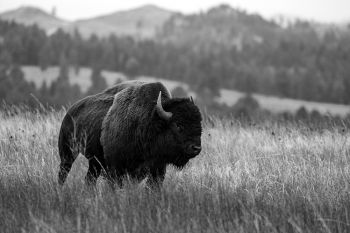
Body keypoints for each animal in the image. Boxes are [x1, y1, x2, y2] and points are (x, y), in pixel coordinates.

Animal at [58, 81, 202, 187]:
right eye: (178, 125)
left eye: (199, 124)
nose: (196, 148)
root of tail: (70, 112)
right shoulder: (116, 170)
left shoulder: (157, 170)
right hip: (68, 153)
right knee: (63, 173)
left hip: (94, 162)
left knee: (89, 179)